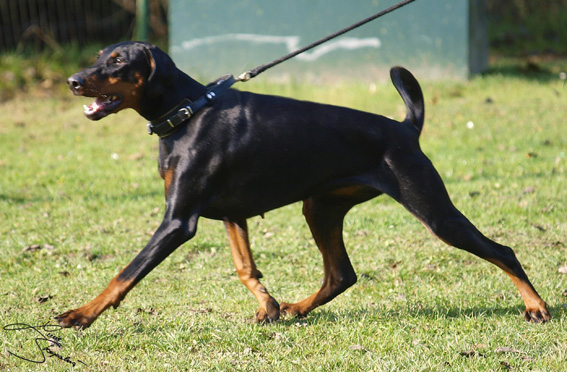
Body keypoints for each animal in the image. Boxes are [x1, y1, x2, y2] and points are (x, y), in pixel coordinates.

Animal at [57, 40, 552, 328]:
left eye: (118, 61)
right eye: (99, 56)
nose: (73, 81)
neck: (186, 112)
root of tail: (405, 127)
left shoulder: (178, 221)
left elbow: (125, 273)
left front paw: (80, 315)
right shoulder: (231, 215)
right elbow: (245, 268)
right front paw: (270, 306)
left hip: (433, 210)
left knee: (503, 251)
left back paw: (536, 307)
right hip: (320, 207)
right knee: (341, 274)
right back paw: (296, 308)